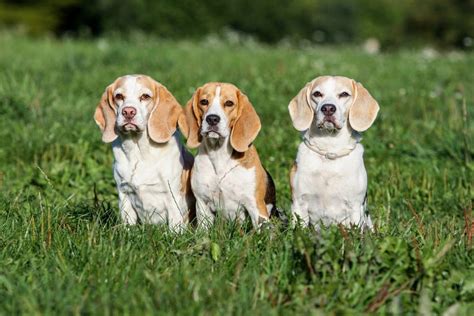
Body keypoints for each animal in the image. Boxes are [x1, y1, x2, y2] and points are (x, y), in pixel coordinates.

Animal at [94, 74, 194, 227]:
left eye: (145, 96)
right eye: (119, 96)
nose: (128, 112)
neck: (139, 152)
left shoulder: (173, 197)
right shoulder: (124, 195)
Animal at [182, 82, 278, 228]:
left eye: (229, 103)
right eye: (204, 101)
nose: (212, 119)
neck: (219, 155)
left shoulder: (255, 205)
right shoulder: (202, 203)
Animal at [286, 76, 380, 230]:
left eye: (344, 94)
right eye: (317, 94)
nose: (328, 108)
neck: (330, 149)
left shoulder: (354, 207)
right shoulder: (299, 203)